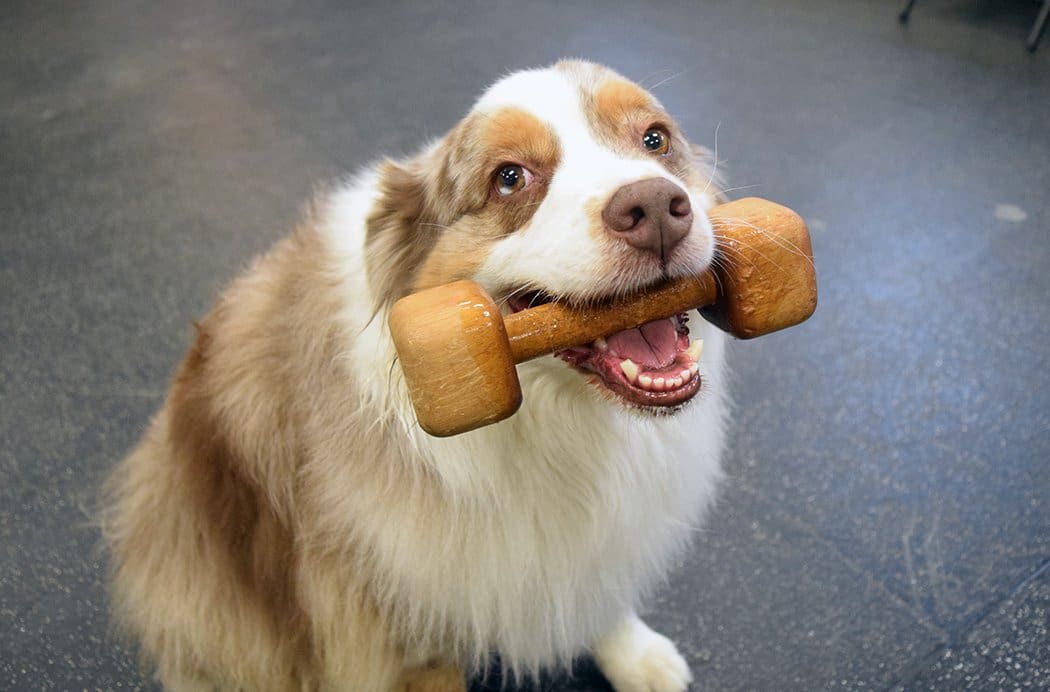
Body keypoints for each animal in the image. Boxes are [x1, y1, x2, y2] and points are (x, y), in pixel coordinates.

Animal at [106, 60, 730, 692]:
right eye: (509, 178)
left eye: (654, 139)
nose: (655, 206)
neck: (555, 422)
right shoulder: (396, 633)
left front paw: (635, 654)